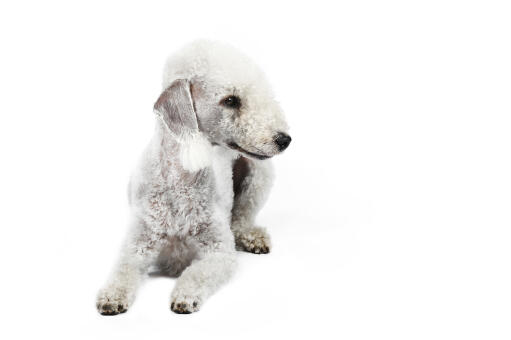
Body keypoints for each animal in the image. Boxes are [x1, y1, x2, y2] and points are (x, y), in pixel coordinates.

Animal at [96, 41, 292, 314]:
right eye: (230, 100)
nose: (284, 139)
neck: (180, 179)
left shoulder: (219, 251)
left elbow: (198, 273)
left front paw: (185, 297)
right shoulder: (137, 244)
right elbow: (122, 269)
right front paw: (111, 296)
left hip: (259, 176)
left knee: (241, 219)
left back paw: (253, 238)